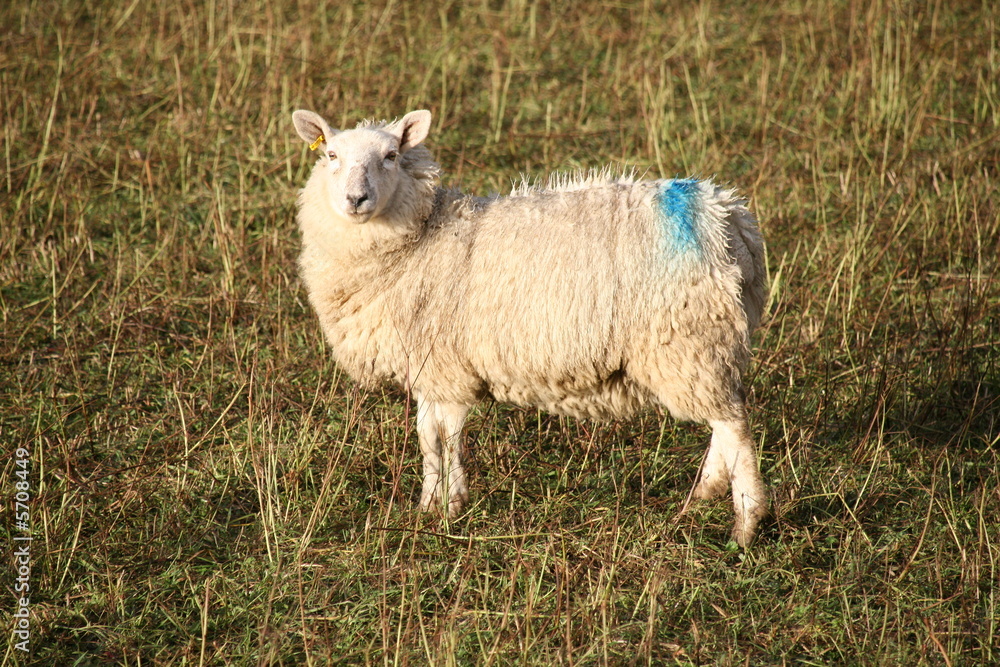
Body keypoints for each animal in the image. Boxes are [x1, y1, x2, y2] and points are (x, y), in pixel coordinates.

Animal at [291, 108, 769, 546]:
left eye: (391, 155)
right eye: (331, 155)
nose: (356, 199)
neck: (423, 235)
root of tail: (727, 220)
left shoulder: (448, 366)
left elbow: (447, 436)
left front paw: (451, 505)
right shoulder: (430, 369)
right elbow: (428, 437)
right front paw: (429, 504)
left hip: (689, 340)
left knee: (735, 427)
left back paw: (745, 526)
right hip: (705, 343)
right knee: (726, 420)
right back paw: (703, 495)